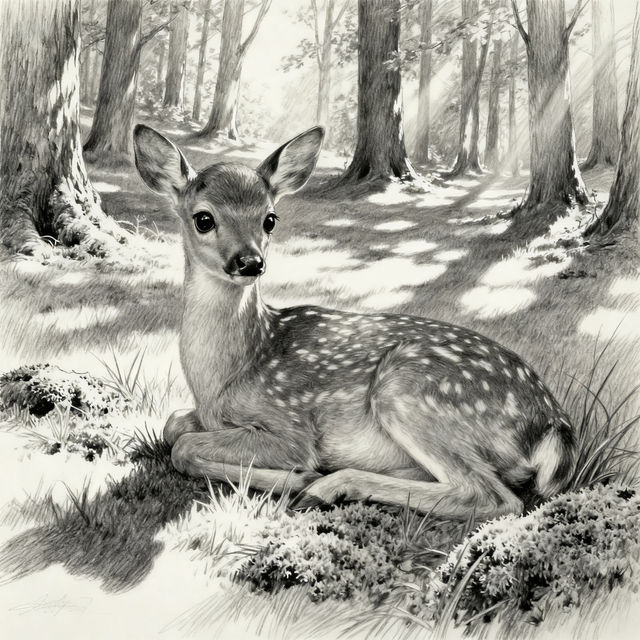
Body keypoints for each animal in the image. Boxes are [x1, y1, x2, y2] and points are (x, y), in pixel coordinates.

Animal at [132, 124, 576, 522]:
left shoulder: (290, 428)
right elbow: (173, 425)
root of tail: (553, 424)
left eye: (269, 219)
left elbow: (184, 447)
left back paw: (325, 486)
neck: (227, 375)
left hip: (411, 389)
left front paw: (297, 475)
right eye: (203, 219)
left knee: (494, 497)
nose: (250, 262)